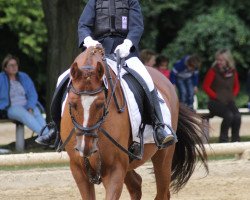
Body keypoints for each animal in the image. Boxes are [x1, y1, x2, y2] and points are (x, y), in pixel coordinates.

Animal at [60, 46, 207, 199]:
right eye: (72, 103)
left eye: (100, 104)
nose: (85, 148)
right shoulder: (79, 171)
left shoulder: (115, 170)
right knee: (136, 185)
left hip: (164, 155)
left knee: (162, 192)